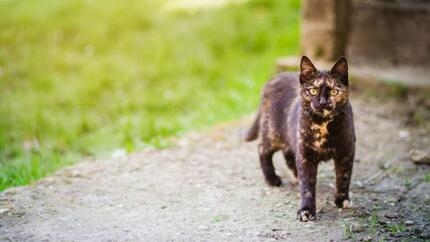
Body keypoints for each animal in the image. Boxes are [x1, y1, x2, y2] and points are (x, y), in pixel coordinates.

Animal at [245, 56, 356, 221]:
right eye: (313, 90)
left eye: (334, 91)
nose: (322, 102)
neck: (322, 124)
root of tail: (273, 78)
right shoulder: (306, 153)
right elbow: (307, 186)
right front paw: (306, 210)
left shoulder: (346, 151)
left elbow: (344, 177)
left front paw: (342, 200)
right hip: (273, 133)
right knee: (262, 149)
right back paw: (272, 178)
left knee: (288, 154)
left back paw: (294, 174)